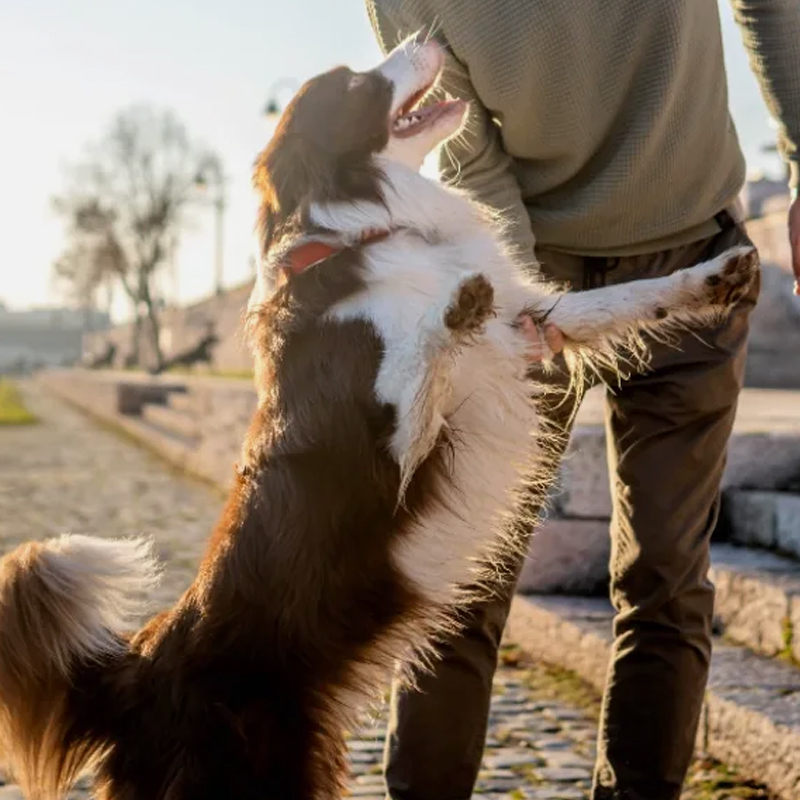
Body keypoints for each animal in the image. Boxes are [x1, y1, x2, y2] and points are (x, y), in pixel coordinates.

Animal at [0, 32, 756, 800]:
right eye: (355, 81)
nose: (432, 34)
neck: (373, 230)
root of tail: (140, 666)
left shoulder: (529, 328)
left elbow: (622, 298)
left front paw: (708, 278)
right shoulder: (391, 453)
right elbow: (424, 357)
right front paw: (453, 309)